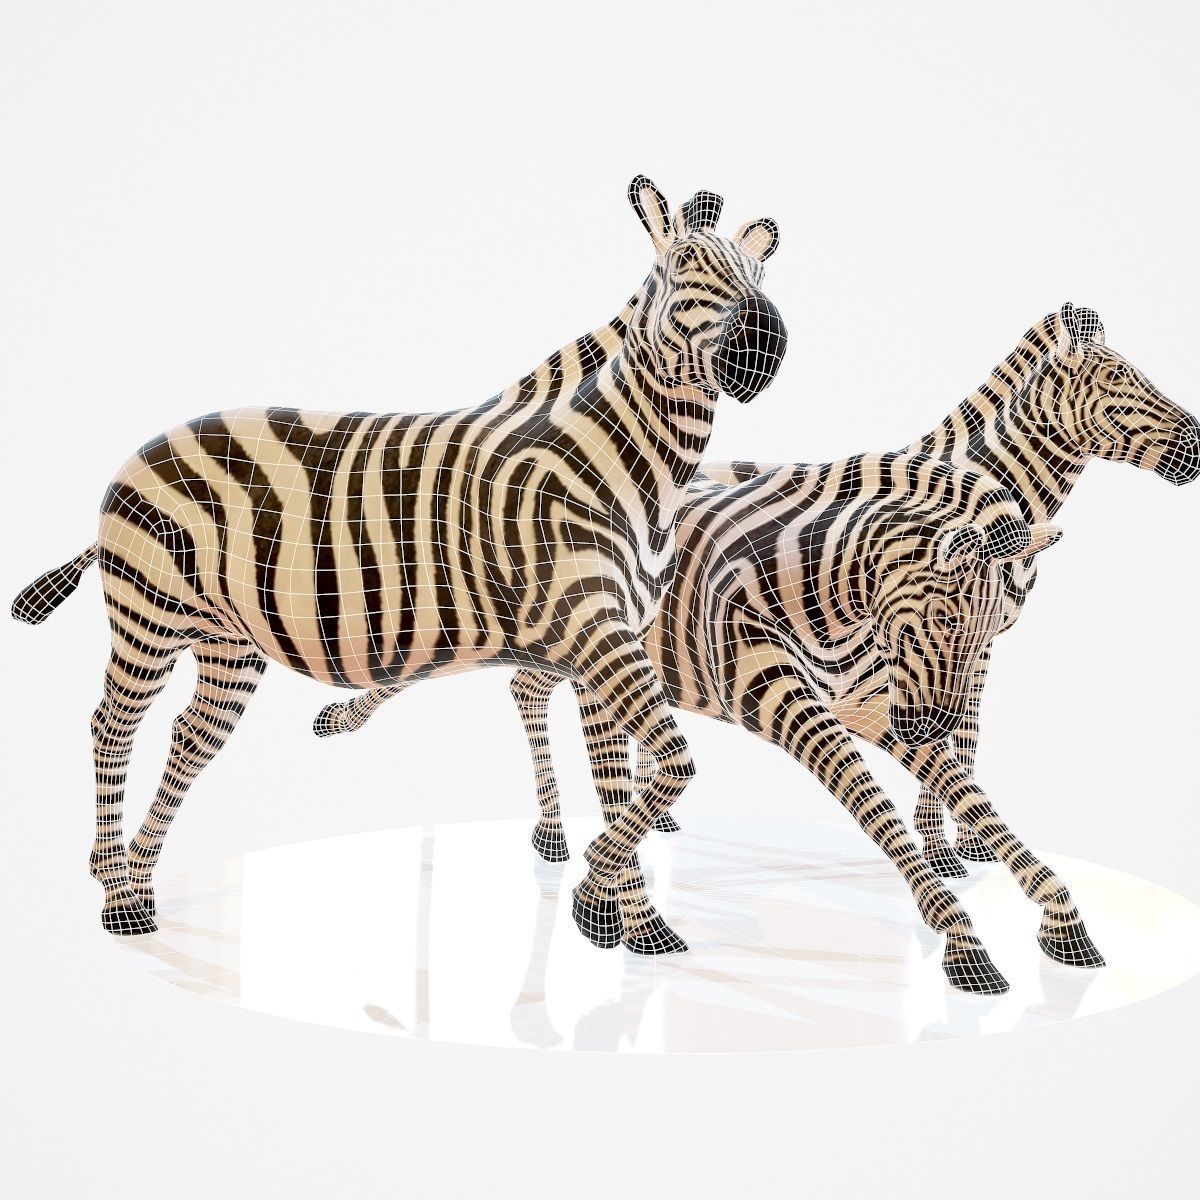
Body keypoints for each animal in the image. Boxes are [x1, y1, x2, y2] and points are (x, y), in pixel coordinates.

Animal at [11, 175, 787, 958]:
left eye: (760, 273)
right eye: (686, 264)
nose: (765, 344)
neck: (624, 464)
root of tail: (143, 446)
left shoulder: (609, 637)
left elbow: (621, 780)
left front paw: (625, 919)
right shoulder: (589, 626)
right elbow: (673, 763)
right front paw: (603, 898)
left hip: (229, 642)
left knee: (188, 740)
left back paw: (133, 877)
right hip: (148, 615)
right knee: (112, 727)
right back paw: (117, 895)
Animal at [312, 451, 1084, 994]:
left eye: (989, 629)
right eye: (948, 620)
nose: (933, 725)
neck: (827, 585)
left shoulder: (868, 705)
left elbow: (975, 801)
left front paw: (1064, 922)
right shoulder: (785, 702)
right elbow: (876, 808)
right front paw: (968, 948)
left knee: (529, 688)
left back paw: (568, 843)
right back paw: (342, 716)